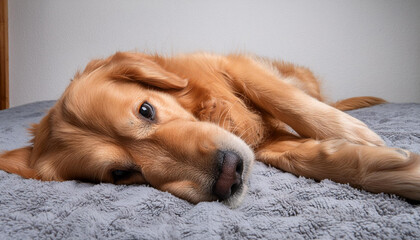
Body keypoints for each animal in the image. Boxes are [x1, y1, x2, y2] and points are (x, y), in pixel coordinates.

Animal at [0, 52, 420, 206]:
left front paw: (357, 135)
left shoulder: (234, 66)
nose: (228, 176)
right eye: (120, 174)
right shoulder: (265, 146)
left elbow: (288, 101)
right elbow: (312, 159)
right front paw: (399, 171)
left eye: (146, 110)